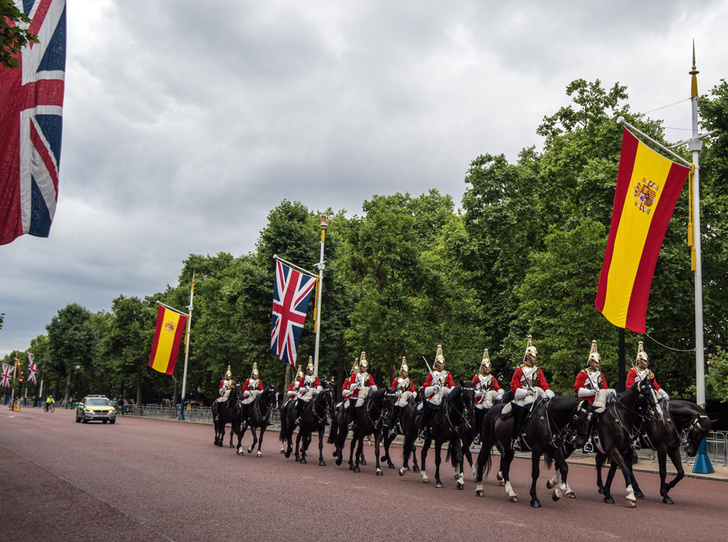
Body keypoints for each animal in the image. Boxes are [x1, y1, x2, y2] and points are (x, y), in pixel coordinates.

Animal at [596, 378, 664, 510]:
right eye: (646, 393)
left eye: (654, 391)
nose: (659, 414)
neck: (620, 418)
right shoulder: (613, 450)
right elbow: (626, 470)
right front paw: (631, 496)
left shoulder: (620, 450)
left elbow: (613, 472)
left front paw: (607, 494)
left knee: (598, 462)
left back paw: (600, 487)